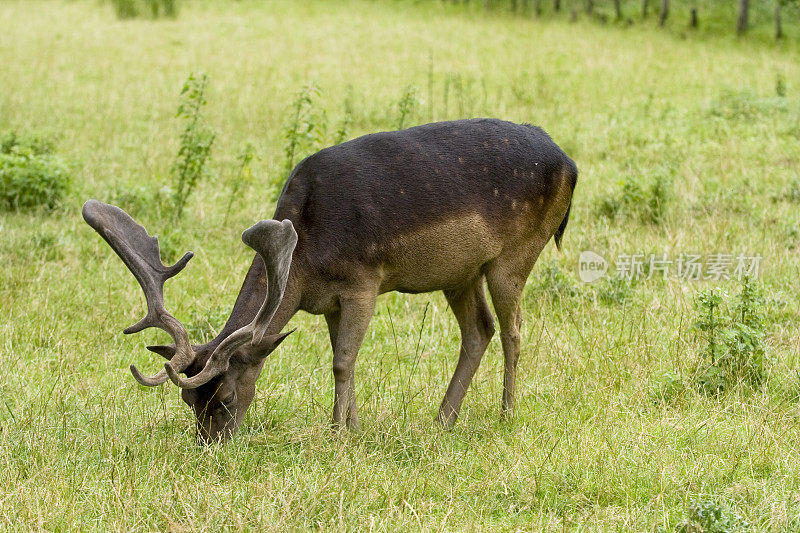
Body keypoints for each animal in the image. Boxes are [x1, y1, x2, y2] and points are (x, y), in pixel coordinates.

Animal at [84, 118, 580, 442]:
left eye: (224, 397)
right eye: (190, 403)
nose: (209, 444)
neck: (306, 257)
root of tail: (571, 164)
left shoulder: (364, 281)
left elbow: (343, 360)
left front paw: (341, 433)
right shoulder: (327, 301)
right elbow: (339, 357)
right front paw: (350, 424)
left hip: (514, 255)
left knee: (513, 329)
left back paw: (506, 415)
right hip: (460, 272)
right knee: (480, 329)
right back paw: (442, 420)